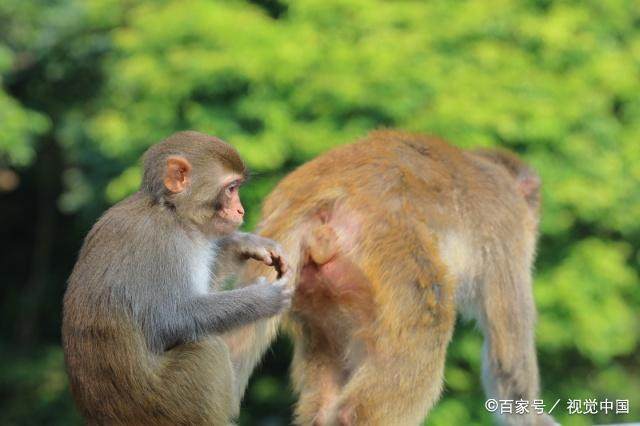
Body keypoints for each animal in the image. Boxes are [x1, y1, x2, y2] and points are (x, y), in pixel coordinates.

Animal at [60, 131, 292, 424]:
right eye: (231, 188)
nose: (241, 211)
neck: (171, 211)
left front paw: (245, 244)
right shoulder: (162, 244)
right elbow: (169, 318)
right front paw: (264, 299)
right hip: (166, 406)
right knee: (208, 351)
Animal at [221, 131, 556, 426]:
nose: (537, 219)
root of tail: (312, 194)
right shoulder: (509, 228)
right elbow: (509, 362)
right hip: (389, 241)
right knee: (428, 322)